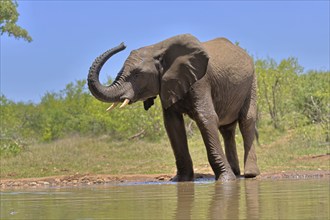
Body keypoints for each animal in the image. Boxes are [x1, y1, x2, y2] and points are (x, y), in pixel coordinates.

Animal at [87, 34, 260, 181]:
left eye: (137, 74)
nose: (122, 44)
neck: (158, 48)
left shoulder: (201, 81)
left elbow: (205, 118)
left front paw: (226, 181)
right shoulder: (168, 85)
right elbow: (172, 124)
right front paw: (180, 180)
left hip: (251, 81)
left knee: (246, 120)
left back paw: (250, 174)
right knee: (227, 129)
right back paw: (236, 172)